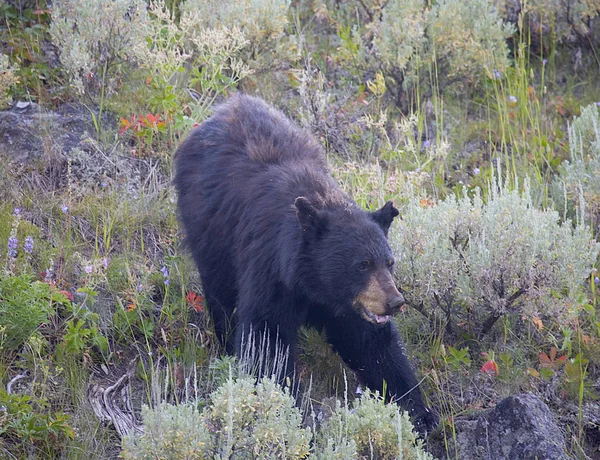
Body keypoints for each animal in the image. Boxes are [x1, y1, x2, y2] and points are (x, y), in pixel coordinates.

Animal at [172, 94, 436, 434]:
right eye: (362, 264)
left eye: (389, 262)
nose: (394, 302)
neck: (311, 282)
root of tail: (226, 106)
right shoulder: (270, 268)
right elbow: (267, 336)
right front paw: (287, 409)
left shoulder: (349, 306)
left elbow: (373, 345)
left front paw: (419, 412)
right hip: (209, 230)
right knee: (220, 291)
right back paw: (226, 342)